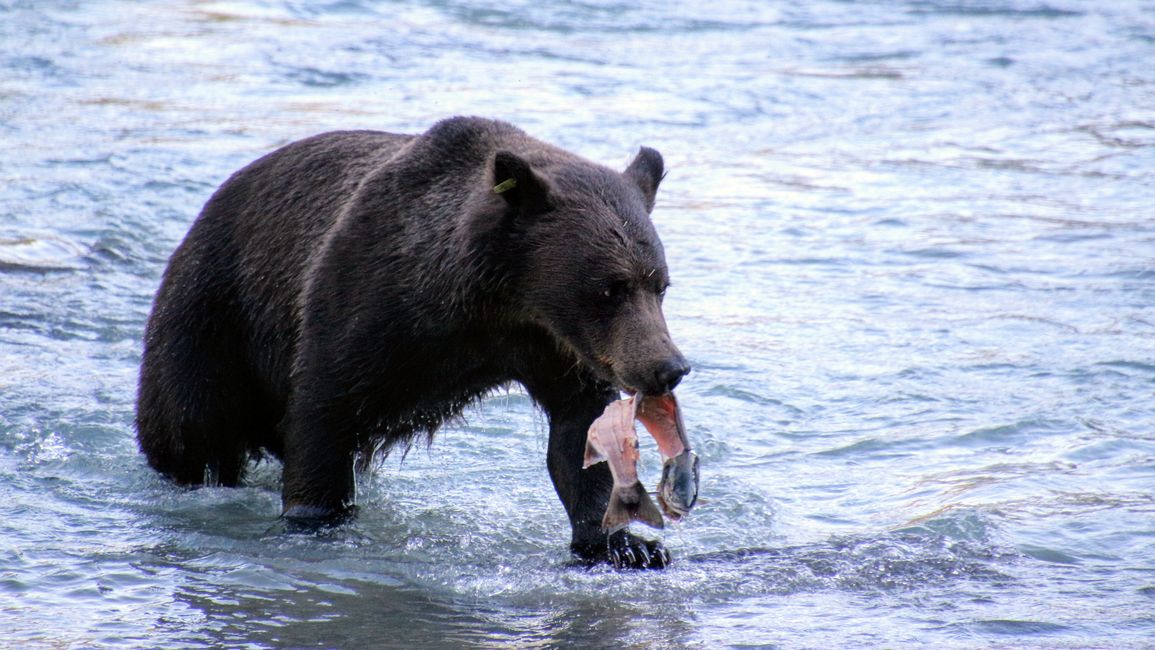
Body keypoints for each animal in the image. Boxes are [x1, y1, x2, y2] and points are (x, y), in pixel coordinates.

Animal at [138, 117, 688, 570]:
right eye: (608, 288)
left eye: (659, 285)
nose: (669, 366)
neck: (494, 300)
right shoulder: (369, 298)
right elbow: (323, 409)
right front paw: (316, 519)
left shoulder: (553, 348)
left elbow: (579, 435)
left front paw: (626, 545)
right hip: (210, 317)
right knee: (189, 424)